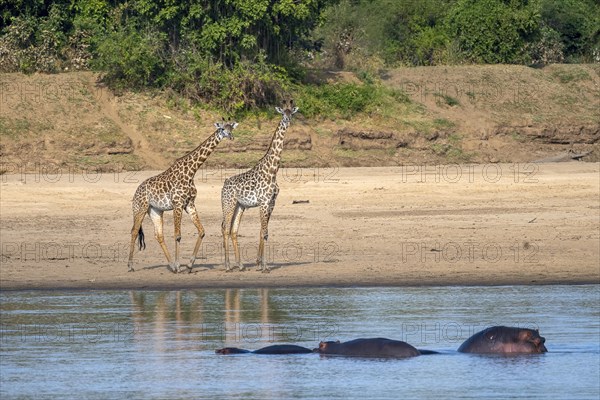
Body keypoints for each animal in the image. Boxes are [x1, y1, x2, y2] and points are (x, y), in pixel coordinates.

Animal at [127, 120, 238, 274]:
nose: (231, 137)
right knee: (134, 231)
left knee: (158, 235)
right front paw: (180, 266)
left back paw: (171, 266)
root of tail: (136, 192)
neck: (191, 172)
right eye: (222, 129)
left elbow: (202, 231)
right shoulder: (177, 204)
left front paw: (189, 265)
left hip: (155, 210)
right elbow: (177, 235)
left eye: (231, 128)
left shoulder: (189, 203)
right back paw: (131, 266)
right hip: (140, 208)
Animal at [220, 99, 298, 272]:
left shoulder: (271, 203)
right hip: (228, 204)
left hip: (240, 206)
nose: (287, 121)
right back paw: (227, 266)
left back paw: (240, 265)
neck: (273, 171)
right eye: (283, 114)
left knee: (233, 230)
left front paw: (260, 263)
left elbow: (264, 231)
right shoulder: (263, 202)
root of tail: (224, 185)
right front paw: (265, 266)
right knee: (224, 228)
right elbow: (264, 231)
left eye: (292, 113)